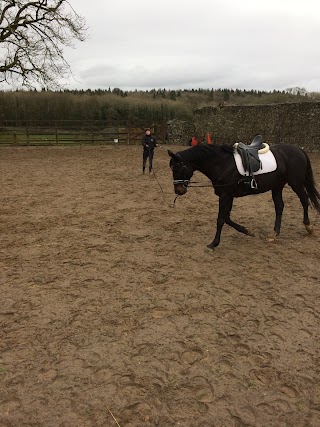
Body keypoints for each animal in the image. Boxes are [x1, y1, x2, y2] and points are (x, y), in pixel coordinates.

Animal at [168, 139, 320, 249]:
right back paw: (274, 233)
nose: (178, 191)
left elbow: (221, 219)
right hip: (277, 187)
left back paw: (308, 227)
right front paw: (247, 231)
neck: (221, 163)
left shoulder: (226, 195)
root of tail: (298, 149)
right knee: (279, 206)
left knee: (304, 200)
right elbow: (227, 218)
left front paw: (214, 243)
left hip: (296, 183)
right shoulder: (227, 196)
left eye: (178, 169)